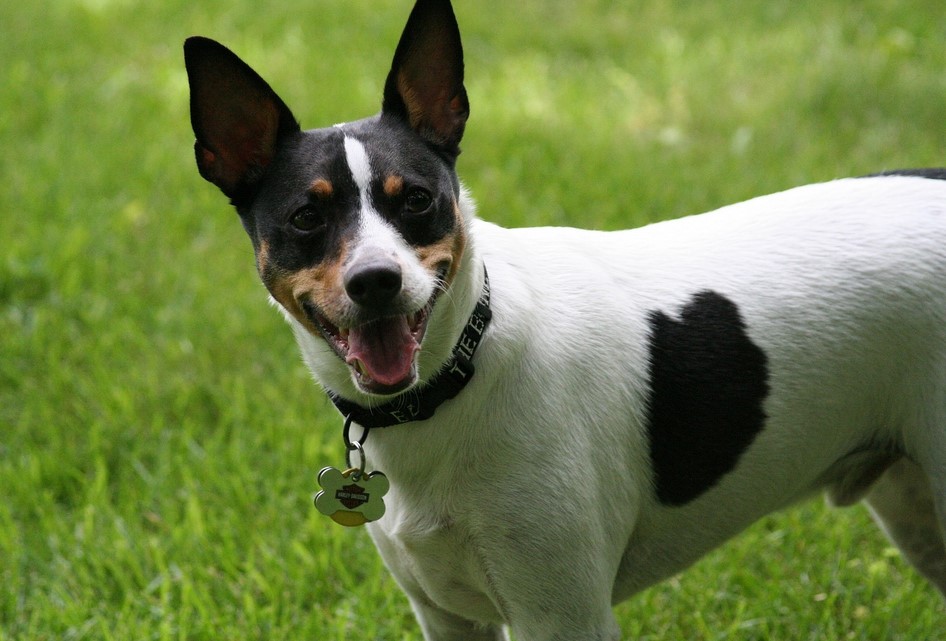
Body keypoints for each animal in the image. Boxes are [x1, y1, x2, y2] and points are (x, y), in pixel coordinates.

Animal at [184, 0, 944, 636]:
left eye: (418, 200)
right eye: (306, 218)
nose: (376, 281)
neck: (457, 374)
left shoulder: (562, 614)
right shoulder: (447, 616)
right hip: (917, 510)